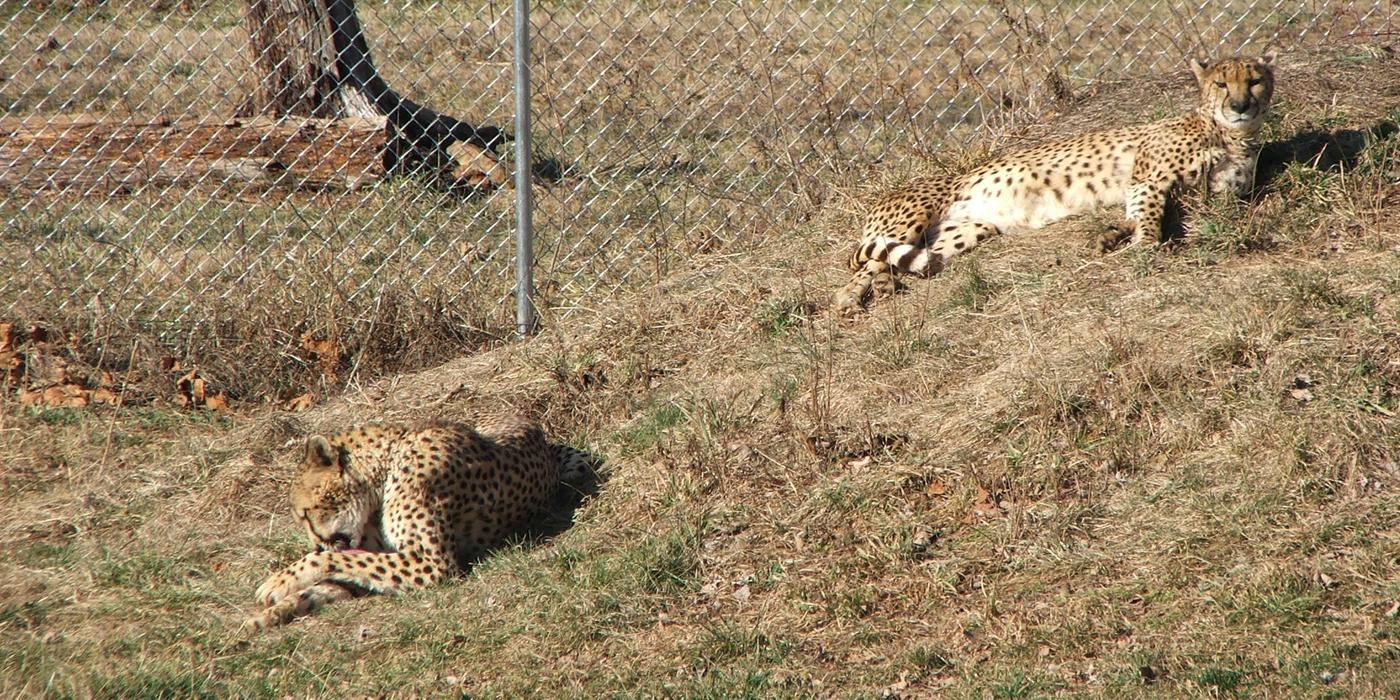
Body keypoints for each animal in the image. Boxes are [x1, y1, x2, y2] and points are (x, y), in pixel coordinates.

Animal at [246, 414, 585, 630]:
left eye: (305, 513)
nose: (316, 542)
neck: (387, 461)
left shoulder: (432, 563)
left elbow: (332, 559)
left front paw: (279, 582)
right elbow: (335, 580)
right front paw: (272, 613)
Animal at [834, 49, 1276, 312]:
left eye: (1254, 81)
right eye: (1221, 83)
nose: (1240, 105)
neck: (1230, 133)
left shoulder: (1212, 195)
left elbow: (1139, 216)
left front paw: (1115, 235)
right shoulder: (1146, 178)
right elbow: (1149, 219)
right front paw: (1142, 245)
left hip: (964, 233)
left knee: (892, 263)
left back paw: (886, 288)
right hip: (910, 221)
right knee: (856, 271)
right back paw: (849, 301)